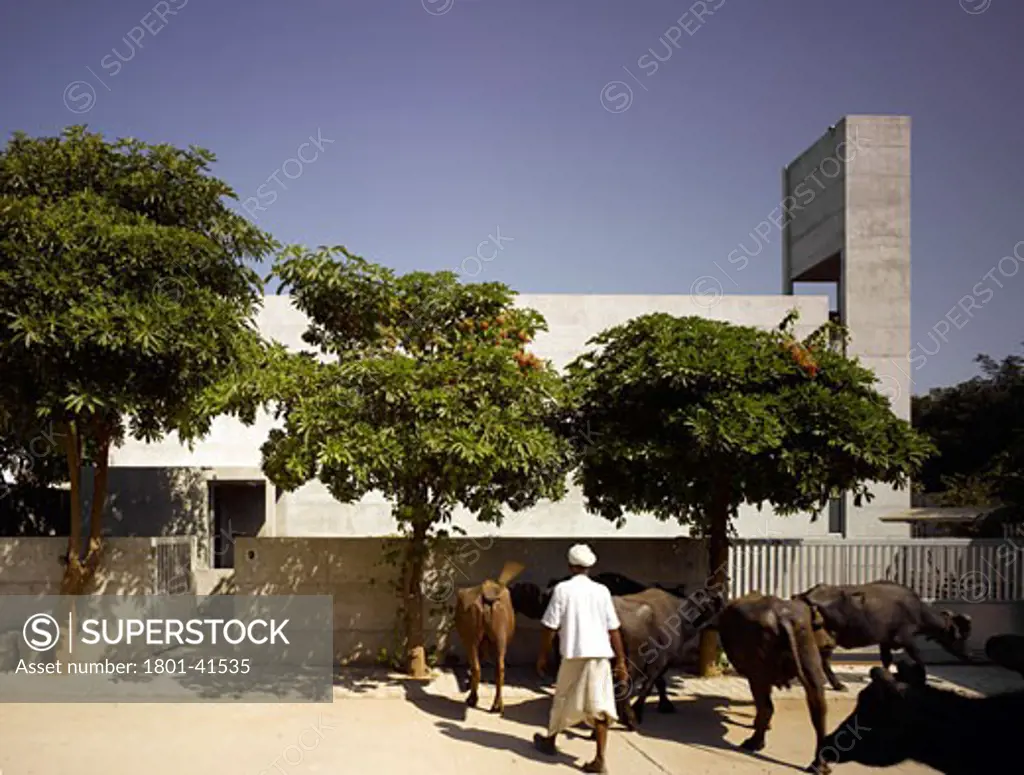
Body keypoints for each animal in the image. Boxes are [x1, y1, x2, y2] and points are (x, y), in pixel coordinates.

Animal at [454, 556, 524, 712]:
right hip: (497, 639)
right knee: (497, 668)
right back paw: (494, 704)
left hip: (475, 640)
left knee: (479, 667)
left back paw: (476, 699)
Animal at [716, 593, 835, 769]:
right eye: (819, 624)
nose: (830, 644)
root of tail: (782, 616)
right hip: (808, 661)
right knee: (818, 708)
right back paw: (819, 764)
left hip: (757, 675)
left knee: (766, 707)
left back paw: (754, 743)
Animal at [794, 581, 970, 687]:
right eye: (959, 636)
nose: (968, 656)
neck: (917, 610)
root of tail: (806, 595)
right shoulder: (906, 639)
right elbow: (919, 658)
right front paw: (923, 679)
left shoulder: (885, 641)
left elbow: (886, 660)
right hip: (829, 638)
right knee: (823, 661)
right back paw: (837, 685)